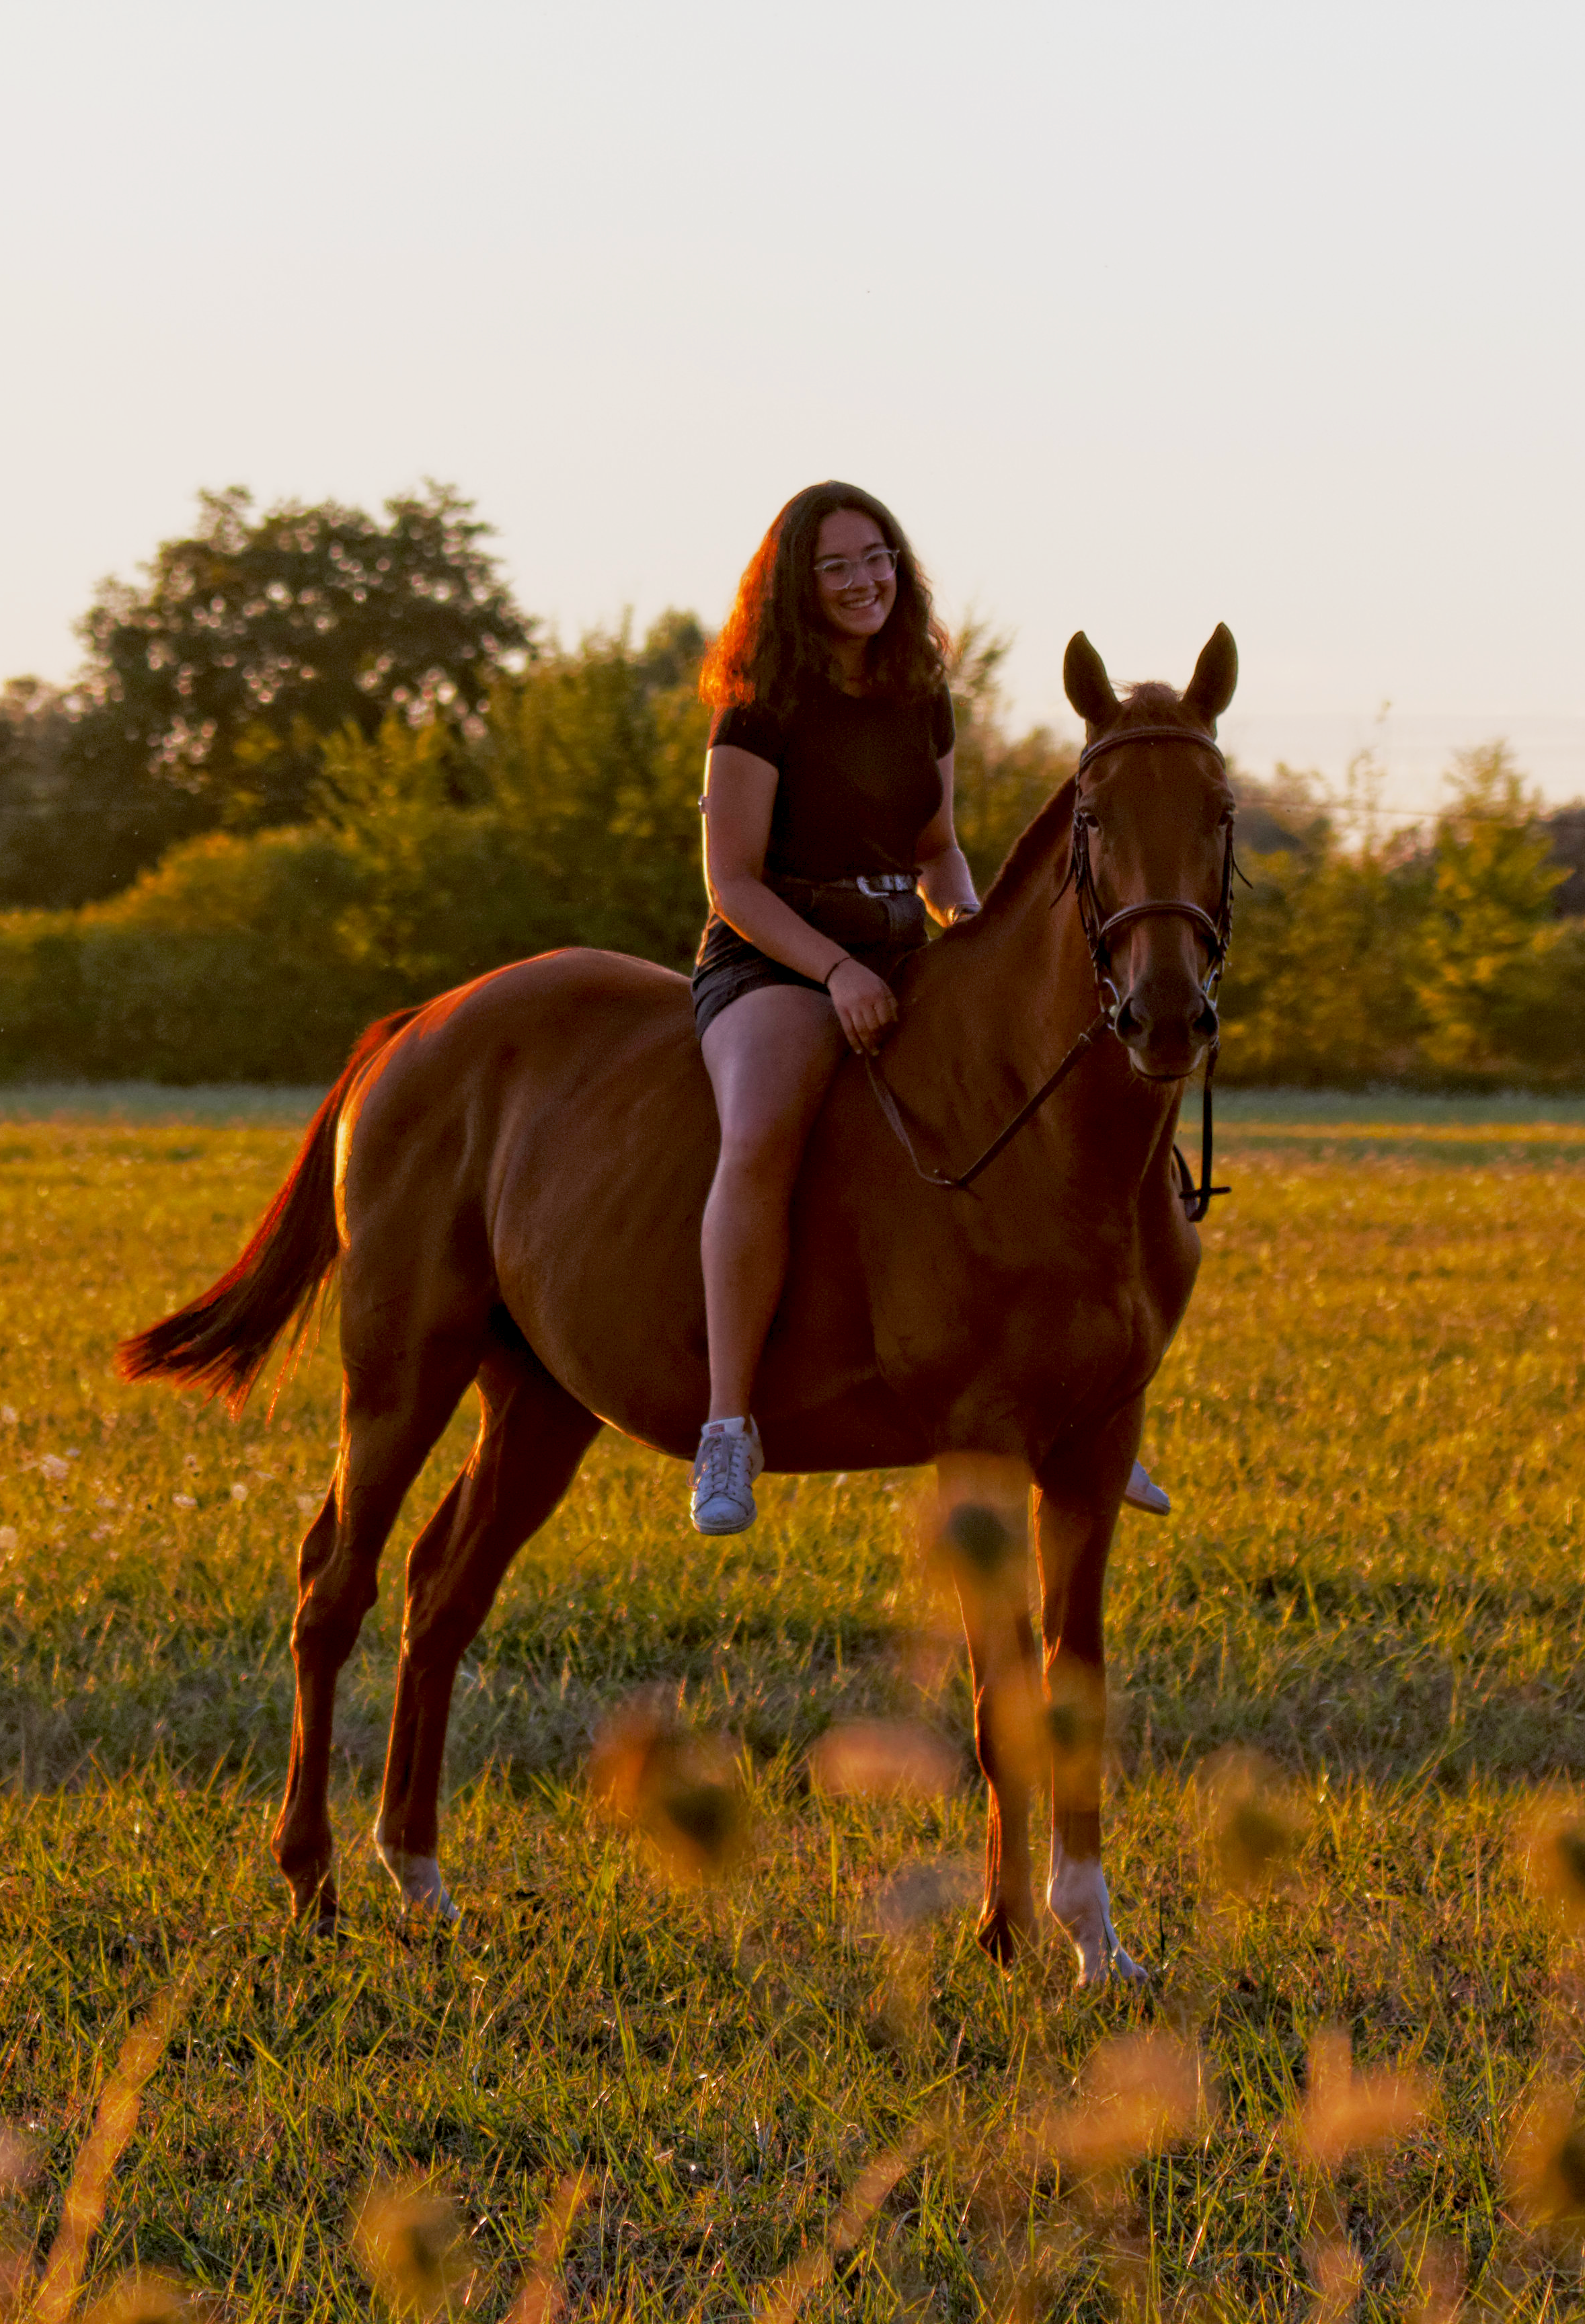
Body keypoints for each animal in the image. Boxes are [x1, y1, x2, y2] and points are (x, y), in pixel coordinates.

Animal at [119, 624, 1239, 1980]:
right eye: (1091, 816)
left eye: (1220, 811)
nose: (1165, 1015)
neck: (1038, 1130)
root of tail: (423, 1025)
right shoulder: (979, 1445)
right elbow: (998, 1695)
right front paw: (1006, 1932)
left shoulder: (1092, 1449)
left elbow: (1073, 1693)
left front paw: (1091, 1938)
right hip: (399, 1376)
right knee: (335, 1589)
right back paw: (312, 1878)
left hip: (538, 1405)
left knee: (442, 1598)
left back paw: (419, 1875)